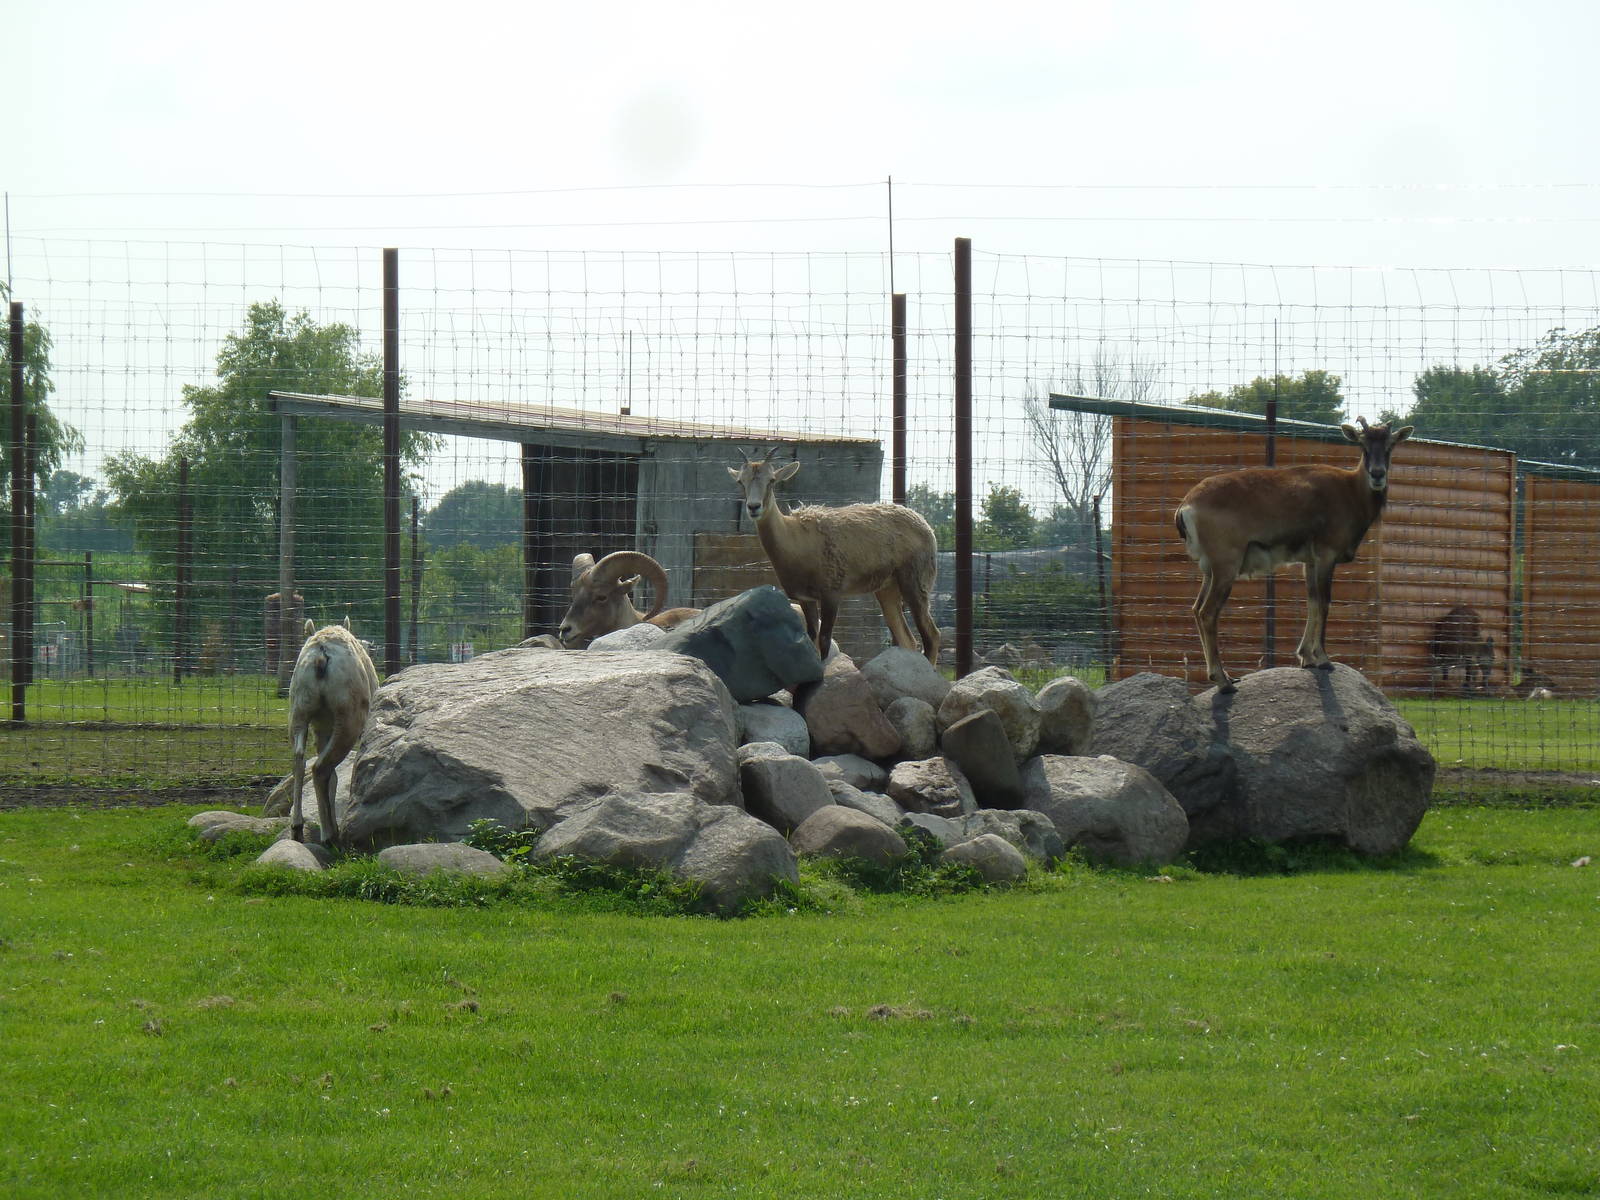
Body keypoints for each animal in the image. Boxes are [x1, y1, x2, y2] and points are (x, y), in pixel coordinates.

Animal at [287, 617, 379, 847]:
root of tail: (321, 656)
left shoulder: (321, 727)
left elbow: (335, 777)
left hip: (299, 709)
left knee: (300, 758)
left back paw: (298, 828)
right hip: (348, 716)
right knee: (320, 768)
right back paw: (329, 836)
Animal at [728, 447, 941, 663]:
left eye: (771, 480)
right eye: (740, 481)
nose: (754, 507)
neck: (795, 537)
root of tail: (925, 526)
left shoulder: (831, 595)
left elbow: (824, 640)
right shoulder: (805, 598)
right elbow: (812, 638)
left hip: (916, 584)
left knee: (931, 635)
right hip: (887, 589)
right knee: (908, 640)